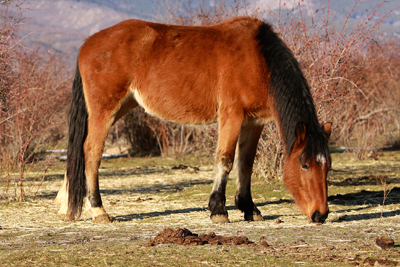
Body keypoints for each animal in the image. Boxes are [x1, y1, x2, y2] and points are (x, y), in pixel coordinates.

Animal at [54, 16, 332, 225]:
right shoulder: (231, 116)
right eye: (304, 164)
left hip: (121, 107)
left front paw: (249, 208)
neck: (258, 59)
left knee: (79, 150)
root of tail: (88, 44)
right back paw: (98, 210)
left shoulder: (254, 123)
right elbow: (225, 161)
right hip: (105, 110)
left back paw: (66, 204)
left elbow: (245, 165)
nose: (320, 214)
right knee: (91, 151)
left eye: (327, 166)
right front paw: (218, 210)